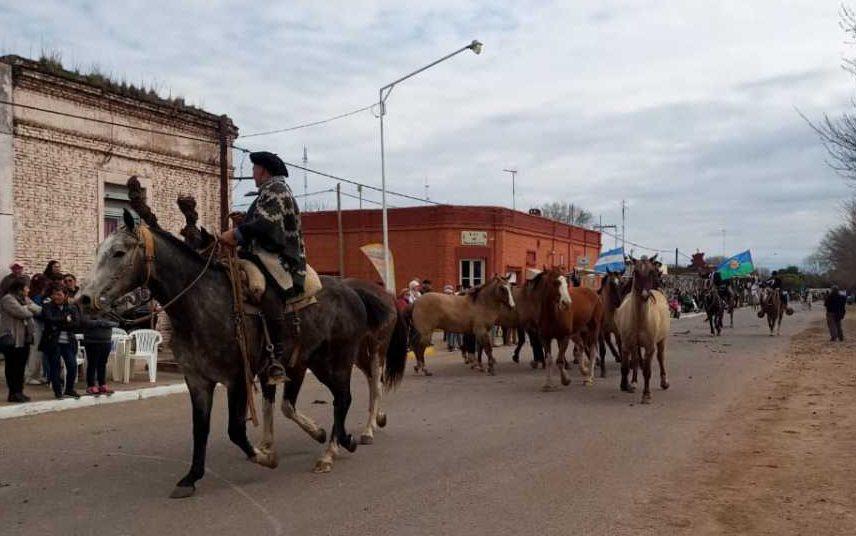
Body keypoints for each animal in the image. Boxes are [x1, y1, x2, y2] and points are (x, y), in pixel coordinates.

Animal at [77, 209, 404, 498]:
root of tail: (353, 291)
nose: (84, 298)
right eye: (99, 250)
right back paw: (342, 439)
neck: (201, 303)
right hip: (314, 361)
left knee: (346, 397)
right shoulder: (198, 380)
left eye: (118, 252)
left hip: (337, 360)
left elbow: (235, 429)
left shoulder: (236, 377)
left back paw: (333, 450)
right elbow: (201, 428)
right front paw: (191, 478)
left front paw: (265, 456)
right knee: (333, 399)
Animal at [616, 255, 668, 402]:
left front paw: (646, 394)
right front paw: (626, 385)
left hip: (662, 339)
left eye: (651, 272)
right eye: (635, 272)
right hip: (635, 345)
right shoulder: (626, 344)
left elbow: (647, 370)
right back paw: (633, 382)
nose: (645, 295)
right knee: (634, 360)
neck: (640, 319)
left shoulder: (650, 347)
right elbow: (625, 366)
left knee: (661, 357)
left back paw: (664, 382)